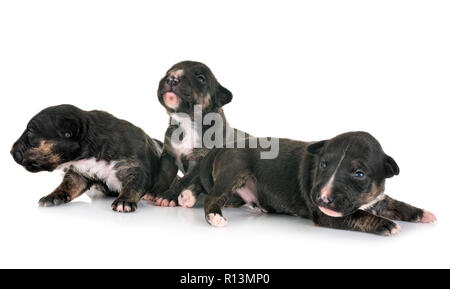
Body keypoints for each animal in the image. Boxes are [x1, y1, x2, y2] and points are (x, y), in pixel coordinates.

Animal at [11, 104, 167, 212]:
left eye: (30, 132)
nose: (11, 151)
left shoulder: (137, 169)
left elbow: (133, 185)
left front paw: (124, 201)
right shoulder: (79, 175)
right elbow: (66, 186)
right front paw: (52, 196)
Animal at [144, 61, 250, 207]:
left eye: (201, 78)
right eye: (168, 71)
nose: (172, 78)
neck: (187, 122)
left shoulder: (199, 162)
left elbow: (184, 181)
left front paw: (168, 197)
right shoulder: (168, 157)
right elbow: (164, 176)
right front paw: (154, 192)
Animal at [200, 132, 436, 235]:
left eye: (359, 174)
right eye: (323, 164)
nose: (322, 198)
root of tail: (225, 146)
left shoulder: (376, 198)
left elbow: (395, 204)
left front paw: (423, 214)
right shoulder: (327, 214)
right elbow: (359, 216)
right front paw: (387, 224)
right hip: (234, 172)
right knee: (212, 196)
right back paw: (215, 217)